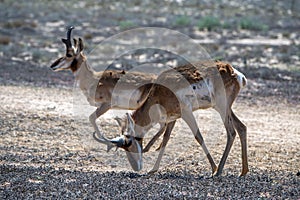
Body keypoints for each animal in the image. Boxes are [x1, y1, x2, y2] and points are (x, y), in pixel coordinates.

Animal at [111, 61, 247, 177]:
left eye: (129, 142)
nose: (135, 167)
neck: (157, 95)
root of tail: (234, 72)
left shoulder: (186, 113)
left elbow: (198, 136)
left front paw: (213, 168)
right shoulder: (172, 118)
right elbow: (165, 140)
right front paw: (153, 170)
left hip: (222, 107)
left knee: (231, 132)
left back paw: (218, 171)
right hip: (225, 108)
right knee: (242, 127)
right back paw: (243, 171)